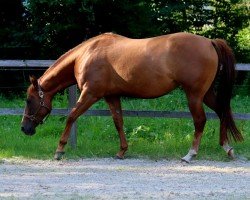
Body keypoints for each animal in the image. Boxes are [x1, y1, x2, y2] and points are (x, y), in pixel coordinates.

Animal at [20, 31, 243, 162]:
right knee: (222, 112)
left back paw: (190, 154)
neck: (87, 54)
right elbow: (118, 121)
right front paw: (122, 151)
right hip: (206, 93)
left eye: (29, 100)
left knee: (200, 121)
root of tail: (210, 42)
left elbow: (71, 116)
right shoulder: (111, 96)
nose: (24, 128)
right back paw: (227, 148)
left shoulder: (91, 94)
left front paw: (59, 150)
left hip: (194, 95)